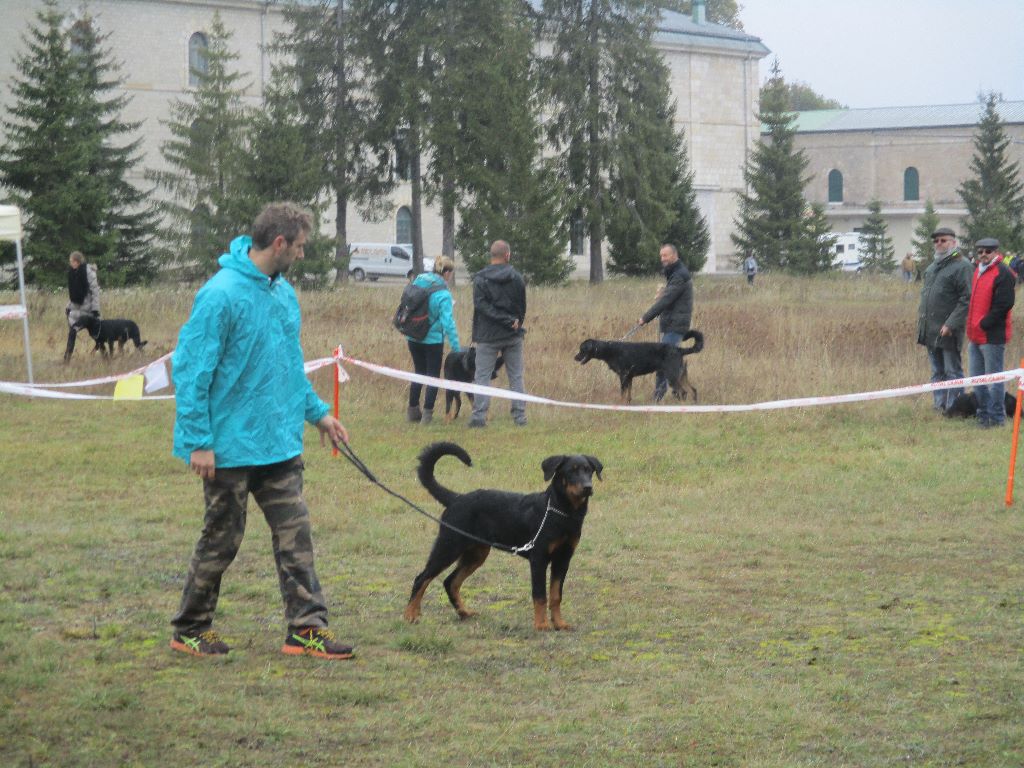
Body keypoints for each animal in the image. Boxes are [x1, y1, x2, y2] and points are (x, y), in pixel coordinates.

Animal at [405, 442, 602, 634]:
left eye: (589, 470)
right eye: (571, 471)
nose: (588, 487)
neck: (563, 512)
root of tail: (456, 498)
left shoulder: (563, 559)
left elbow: (555, 596)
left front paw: (560, 623)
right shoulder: (539, 559)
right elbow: (540, 595)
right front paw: (541, 625)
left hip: (476, 554)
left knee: (450, 581)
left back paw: (464, 612)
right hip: (448, 546)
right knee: (422, 578)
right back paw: (410, 615)